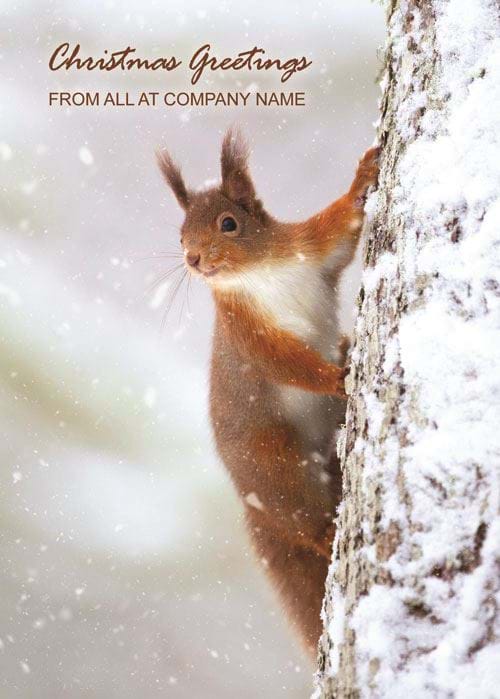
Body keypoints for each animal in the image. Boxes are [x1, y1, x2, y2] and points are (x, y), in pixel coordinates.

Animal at [156, 129, 379, 657]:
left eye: (229, 223)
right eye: (180, 236)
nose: (193, 259)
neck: (258, 274)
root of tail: (256, 512)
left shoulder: (311, 253)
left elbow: (342, 227)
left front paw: (365, 174)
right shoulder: (248, 336)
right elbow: (285, 363)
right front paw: (333, 377)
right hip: (276, 465)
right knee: (308, 525)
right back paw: (326, 529)